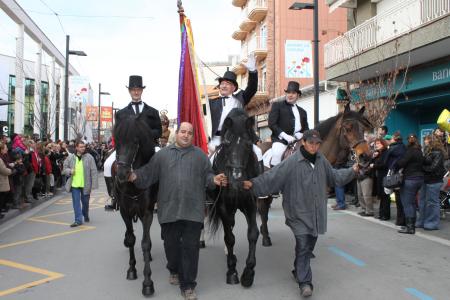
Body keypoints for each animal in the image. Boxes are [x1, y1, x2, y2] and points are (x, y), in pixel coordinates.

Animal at [208, 108, 260, 288]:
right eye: (226, 143)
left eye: (249, 144)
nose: (236, 180)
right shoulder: (223, 207)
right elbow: (229, 238)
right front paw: (232, 271)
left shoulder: (251, 205)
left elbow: (253, 234)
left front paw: (248, 273)